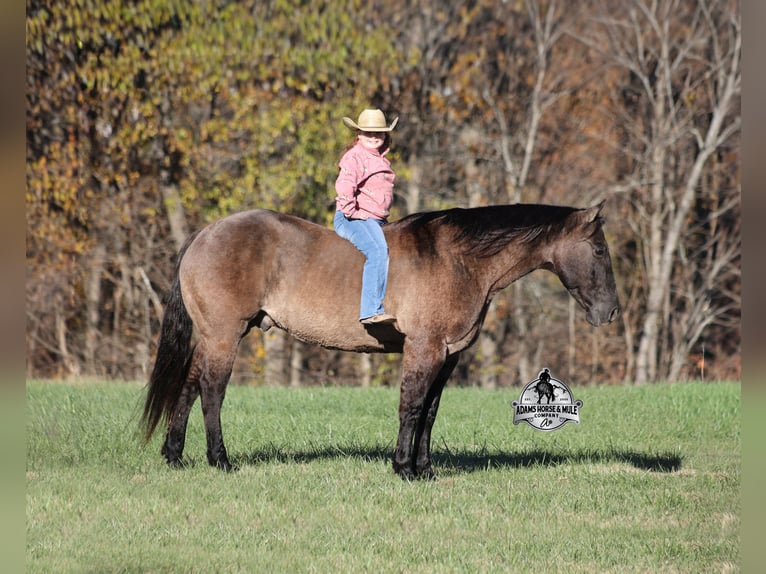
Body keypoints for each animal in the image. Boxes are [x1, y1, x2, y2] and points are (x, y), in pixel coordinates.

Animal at [141, 201, 620, 480]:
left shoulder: (447, 355)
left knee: (188, 386)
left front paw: (425, 469)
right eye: (599, 250)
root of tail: (205, 234)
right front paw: (403, 468)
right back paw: (220, 460)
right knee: (211, 391)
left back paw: (174, 456)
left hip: (212, 336)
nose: (611, 312)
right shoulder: (424, 348)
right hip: (225, 335)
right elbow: (411, 406)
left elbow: (429, 411)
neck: (457, 259)